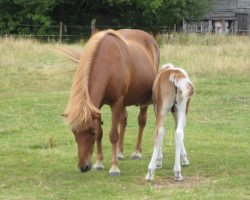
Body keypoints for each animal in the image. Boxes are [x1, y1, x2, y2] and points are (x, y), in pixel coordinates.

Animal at [62, 28, 160, 176]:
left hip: (143, 102)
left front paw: (114, 168)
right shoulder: (97, 106)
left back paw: (136, 152)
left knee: (141, 122)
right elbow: (102, 134)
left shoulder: (117, 102)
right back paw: (119, 152)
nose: (83, 167)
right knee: (123, 121)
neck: (108, 62)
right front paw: (99, 163)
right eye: (74, 131)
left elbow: (113, 135)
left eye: (91, 132)